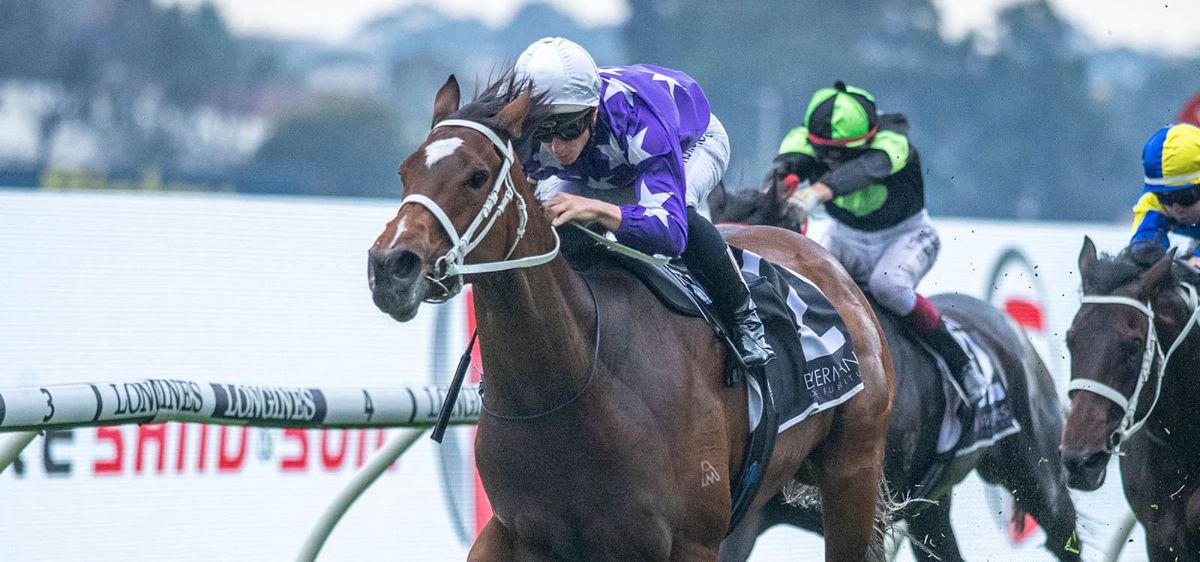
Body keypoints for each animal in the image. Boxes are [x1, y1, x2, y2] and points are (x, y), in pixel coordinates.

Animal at [367, 73, 895, 561]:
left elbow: (672, 219)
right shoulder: (515, 532)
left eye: (476, 176)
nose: (391, 266)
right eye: (404, 172)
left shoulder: (690, 541)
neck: (573, 385)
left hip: (854, 469)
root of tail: (829, 266)